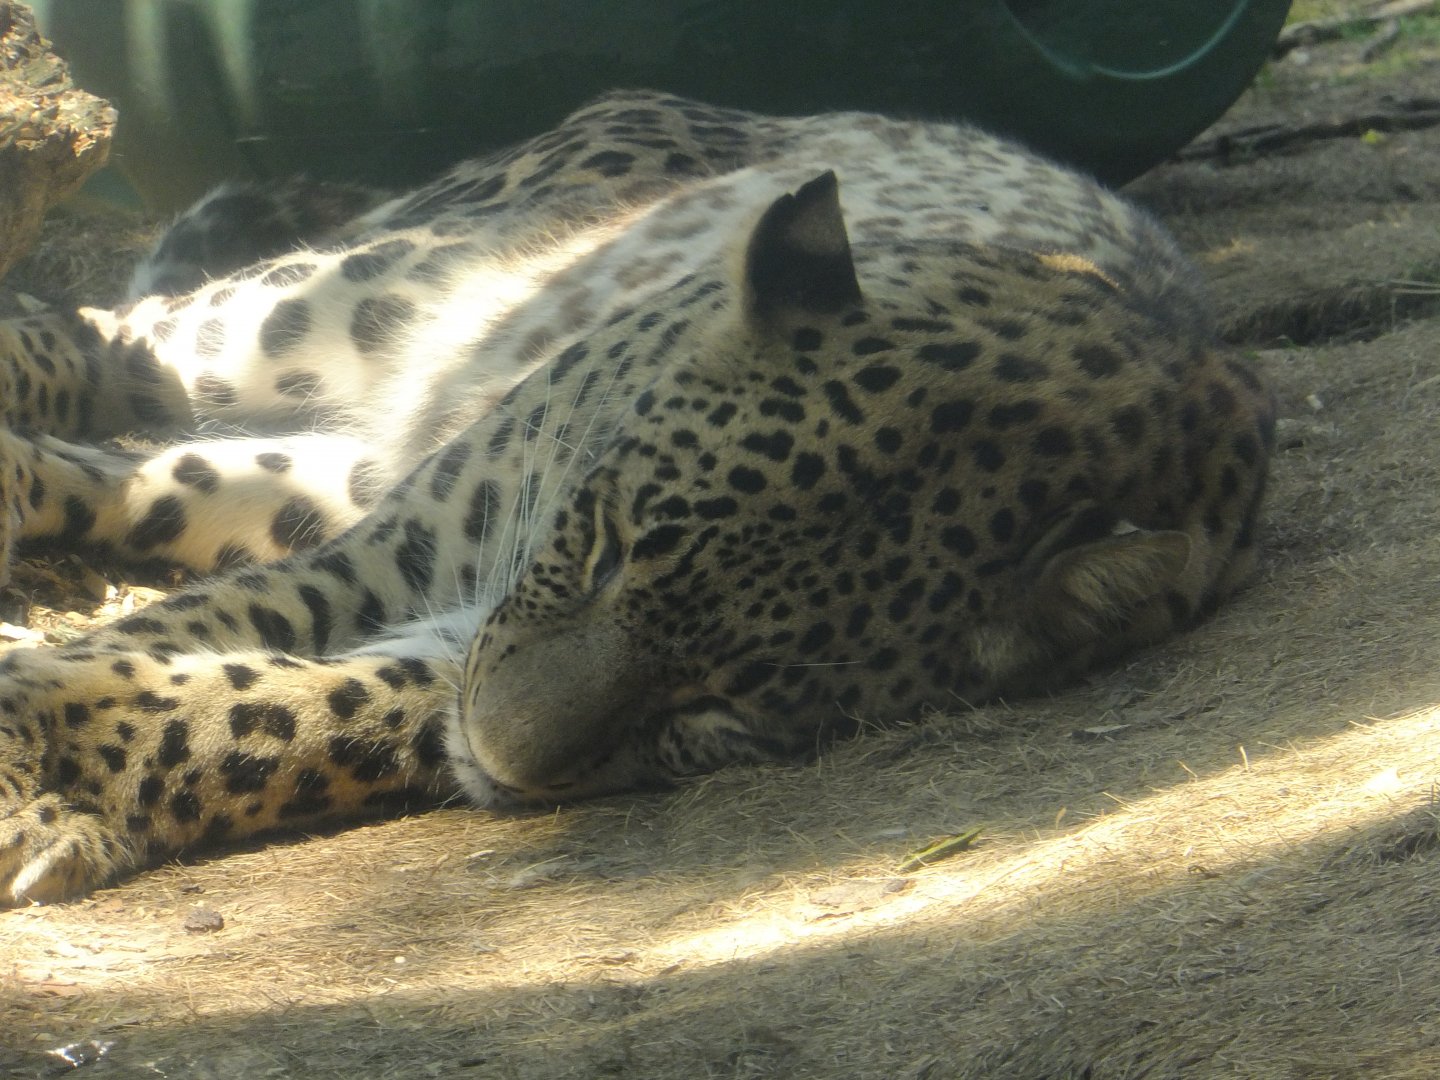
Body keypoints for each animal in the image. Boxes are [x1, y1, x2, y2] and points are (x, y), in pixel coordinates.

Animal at [0, 90, 1275, 903]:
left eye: (723, 702)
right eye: (605, 545)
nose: (498, 765)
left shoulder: (448, 633)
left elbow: (287, 713)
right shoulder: (396, 553)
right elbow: (197, 632)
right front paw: (31, 747)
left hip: (335, 460)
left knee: (157, 474)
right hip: (351, 298)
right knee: (117, 334)